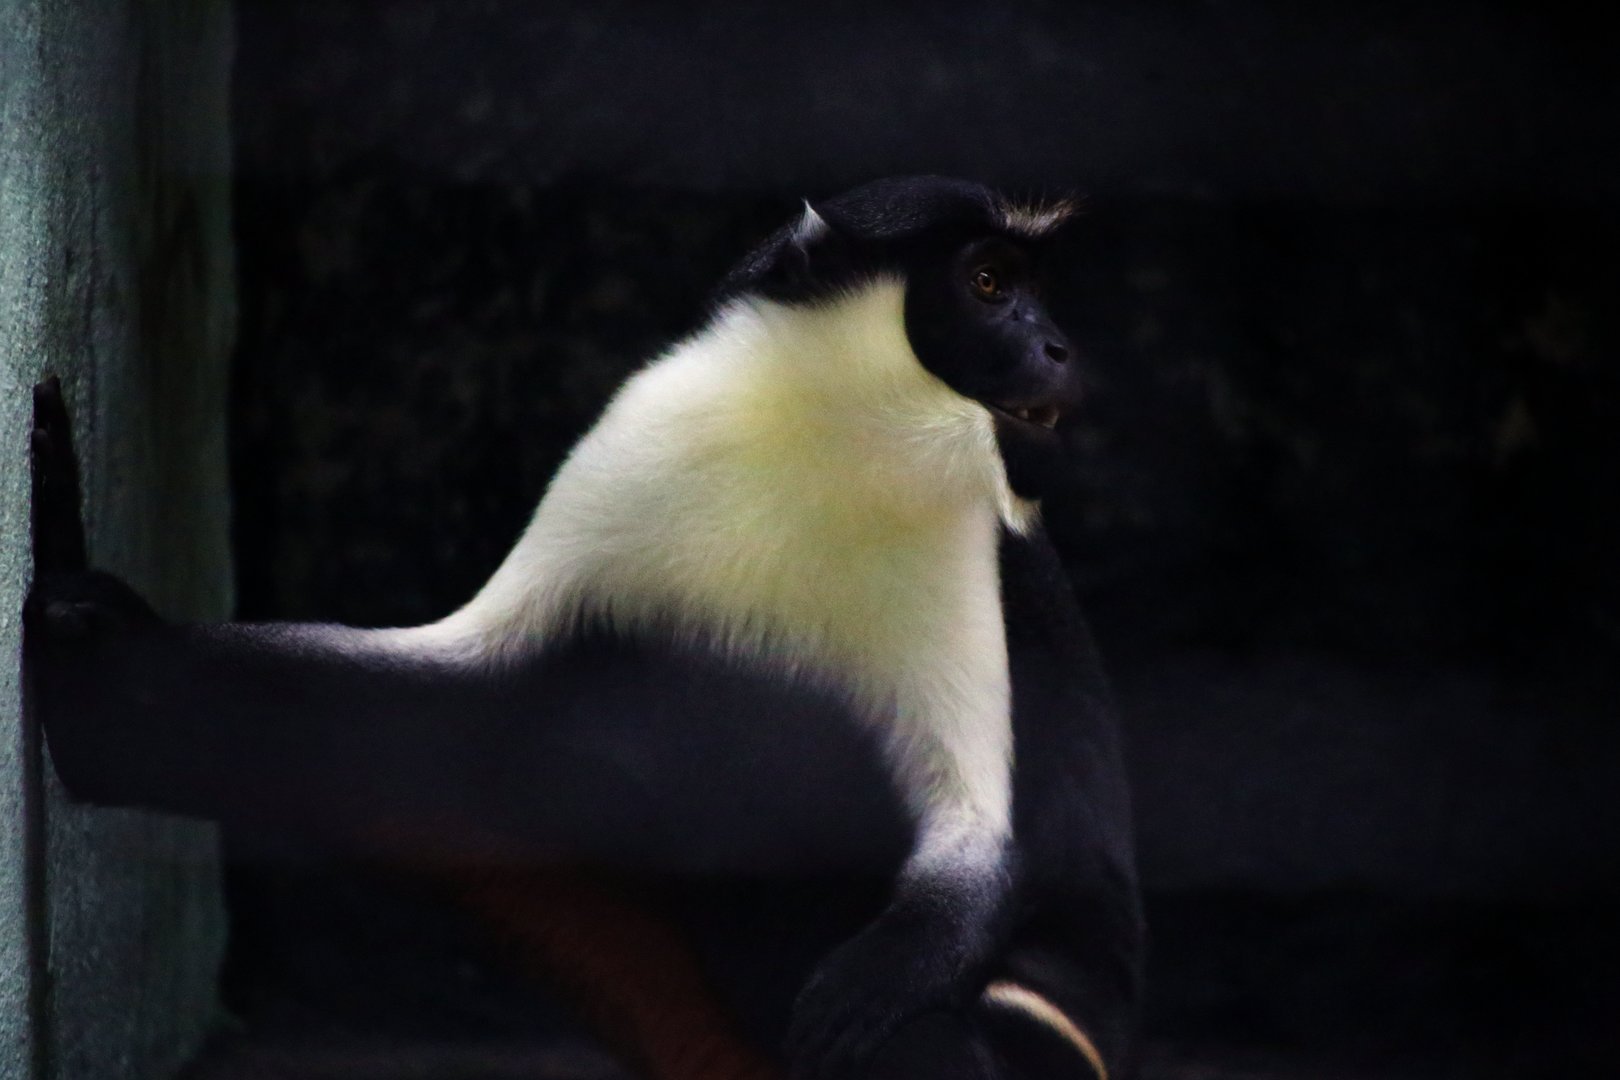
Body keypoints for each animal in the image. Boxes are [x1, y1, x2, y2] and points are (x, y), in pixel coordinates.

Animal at [25, 176, 1144, 1079]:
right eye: (990, 284)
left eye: (1029, 290)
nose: (1058, 347)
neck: (833, 428)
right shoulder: (637, 448)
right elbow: (415, 700)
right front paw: (93, 651)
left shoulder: (970, 534)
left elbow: (971, 846)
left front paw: (879, 976)